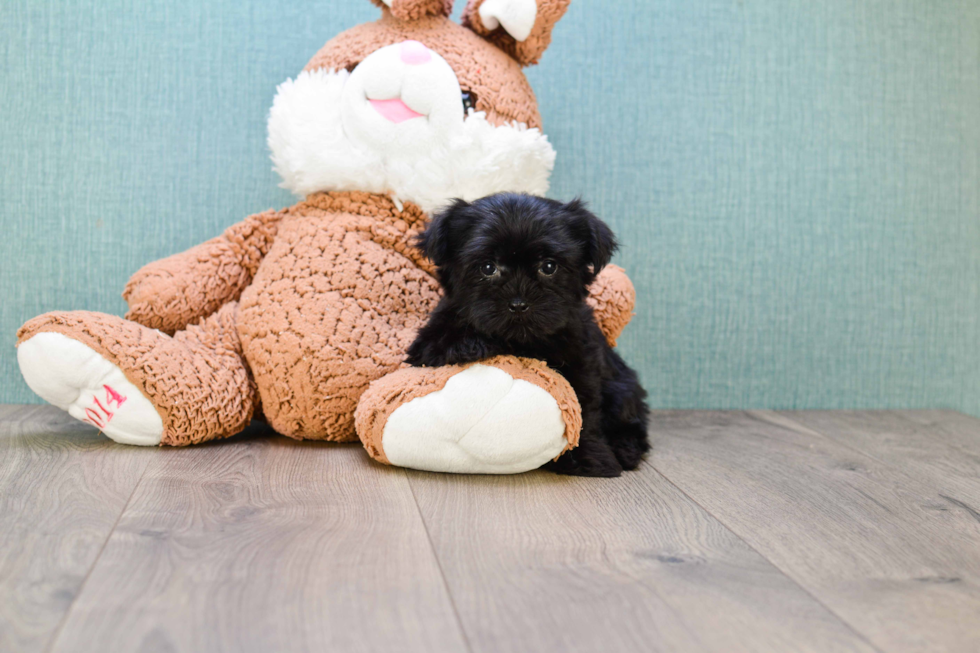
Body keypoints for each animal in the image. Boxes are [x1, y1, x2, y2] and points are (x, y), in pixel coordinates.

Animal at [406, 191, 652, 476]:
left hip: (622, 387)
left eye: (549, 266)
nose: (518, 303)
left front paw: (587, 455)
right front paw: (465, 343)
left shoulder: (582, 359)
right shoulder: (428, 343)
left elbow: (584, 407)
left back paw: (625, 449)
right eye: (488, 268)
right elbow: (440, 341)